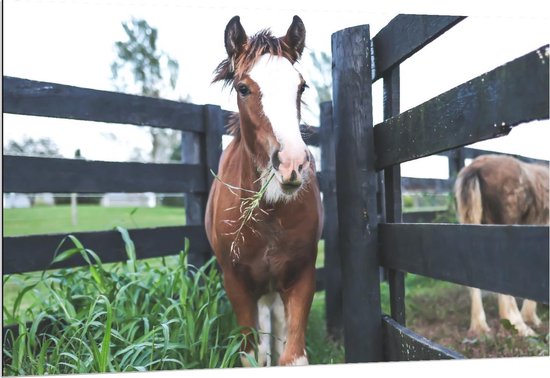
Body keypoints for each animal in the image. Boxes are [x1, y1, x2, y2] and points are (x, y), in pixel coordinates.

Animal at [206, 15, 324, 366]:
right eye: (243, 88)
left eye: (301, 86)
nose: (292, 164)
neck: (270, 210)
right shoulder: (237, 284)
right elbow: (252, 354)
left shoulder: (301, 277)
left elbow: (292, 356)